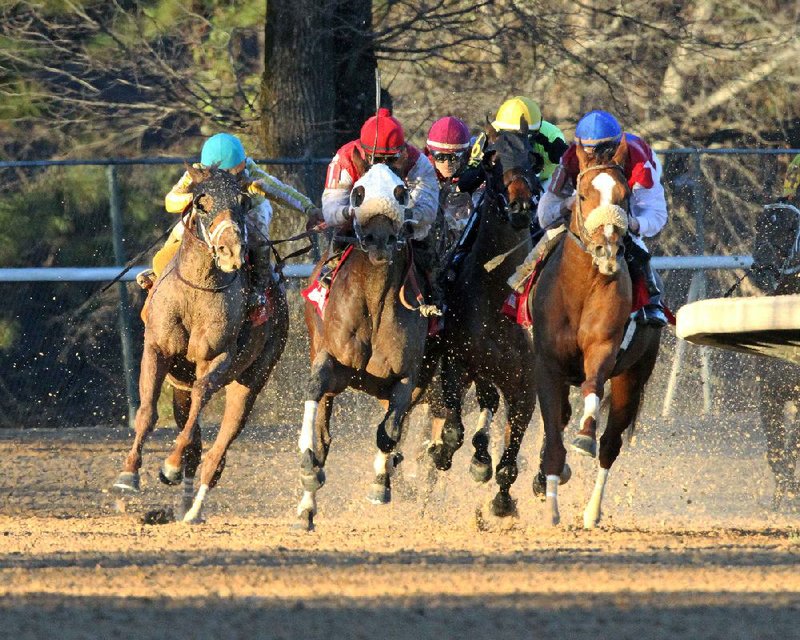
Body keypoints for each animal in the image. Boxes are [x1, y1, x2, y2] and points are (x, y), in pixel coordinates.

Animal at [111, 165, 290, 520]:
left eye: (242, 202)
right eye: (201, 203)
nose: (231, 251)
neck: (197, 291)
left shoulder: (217, 358)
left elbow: (201, 400)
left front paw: (169, 465)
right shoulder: (157, 350)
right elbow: (147, 412)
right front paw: (128, 474)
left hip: (254, 378)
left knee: (220, 442)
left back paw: (194, 504)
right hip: (181, 382)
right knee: (193, 437)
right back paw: (184, 501)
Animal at [432, 122, 552, 516]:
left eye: (531, 156)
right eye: (491, 159)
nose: (521, 205)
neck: (496, 289)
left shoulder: (526, 381)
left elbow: (512, 452)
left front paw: (502, 499)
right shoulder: (460, 359)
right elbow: (455, 427)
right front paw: (448, 453)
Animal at [532, 139, 664, 524]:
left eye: (624, 196)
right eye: (582, 194)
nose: (607, 251)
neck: (579, 290)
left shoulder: (603, 349)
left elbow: (592, 390)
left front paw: (584, 435)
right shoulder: (547, 364)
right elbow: (552, 432)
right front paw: (552, 506)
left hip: (633, 377)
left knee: (611, 445)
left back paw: (592, 512)